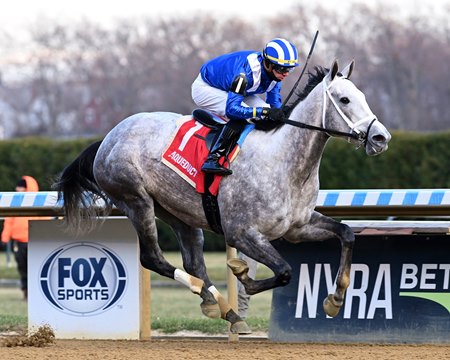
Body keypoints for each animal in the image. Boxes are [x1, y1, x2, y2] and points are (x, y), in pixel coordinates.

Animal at [52, 59, 390, 334]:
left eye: (362, 97)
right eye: (344, 99)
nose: (380, 138)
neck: (283, 162)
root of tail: (108, 138)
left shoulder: (298, 227)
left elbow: (346, 234)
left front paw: (336, 298)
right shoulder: (242, 233)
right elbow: (283, 271)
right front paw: (242, 274)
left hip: (179, 213)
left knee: (194, 262)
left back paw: (223, 308)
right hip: (136, 200)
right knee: (153, 257)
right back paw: (209, 296)